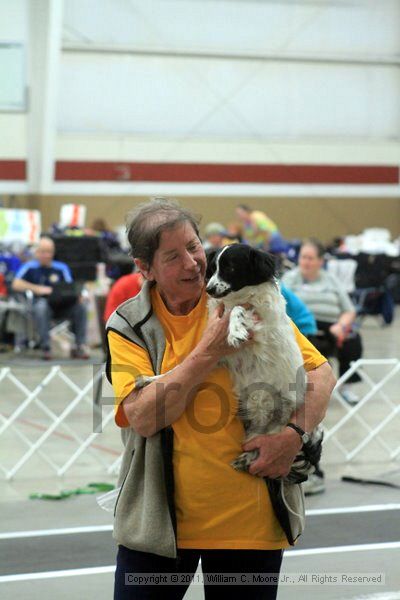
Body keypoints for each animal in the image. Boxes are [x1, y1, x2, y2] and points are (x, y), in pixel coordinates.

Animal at [206, 241, 322, 480]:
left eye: (230, 267)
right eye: (213, 268)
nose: (208, 289)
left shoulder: (261, 321)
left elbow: (237, 310)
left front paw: (235, 331)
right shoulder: (217, 356)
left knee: (263, 447)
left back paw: (247, 459)